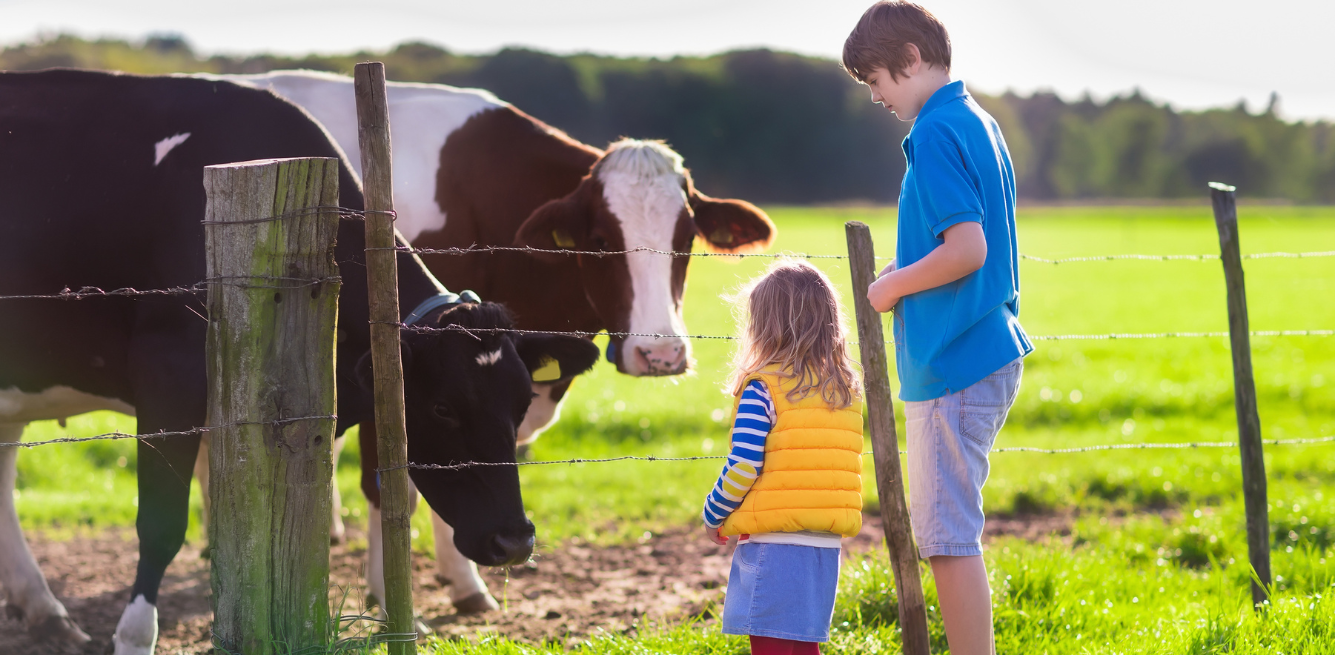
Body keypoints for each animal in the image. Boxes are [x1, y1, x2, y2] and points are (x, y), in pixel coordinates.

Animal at [0, 69, 595, 653]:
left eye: (521, 404)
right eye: (444, 408)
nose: (514, 539)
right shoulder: (168, 378)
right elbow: (162, 525)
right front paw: (133, 638)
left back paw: (44, 611)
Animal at [213, 71, 779, 616]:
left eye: (686, 240)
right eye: (600, 241)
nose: (660, 354)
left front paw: (463, 583)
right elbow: (393, 487)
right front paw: (392, 597)